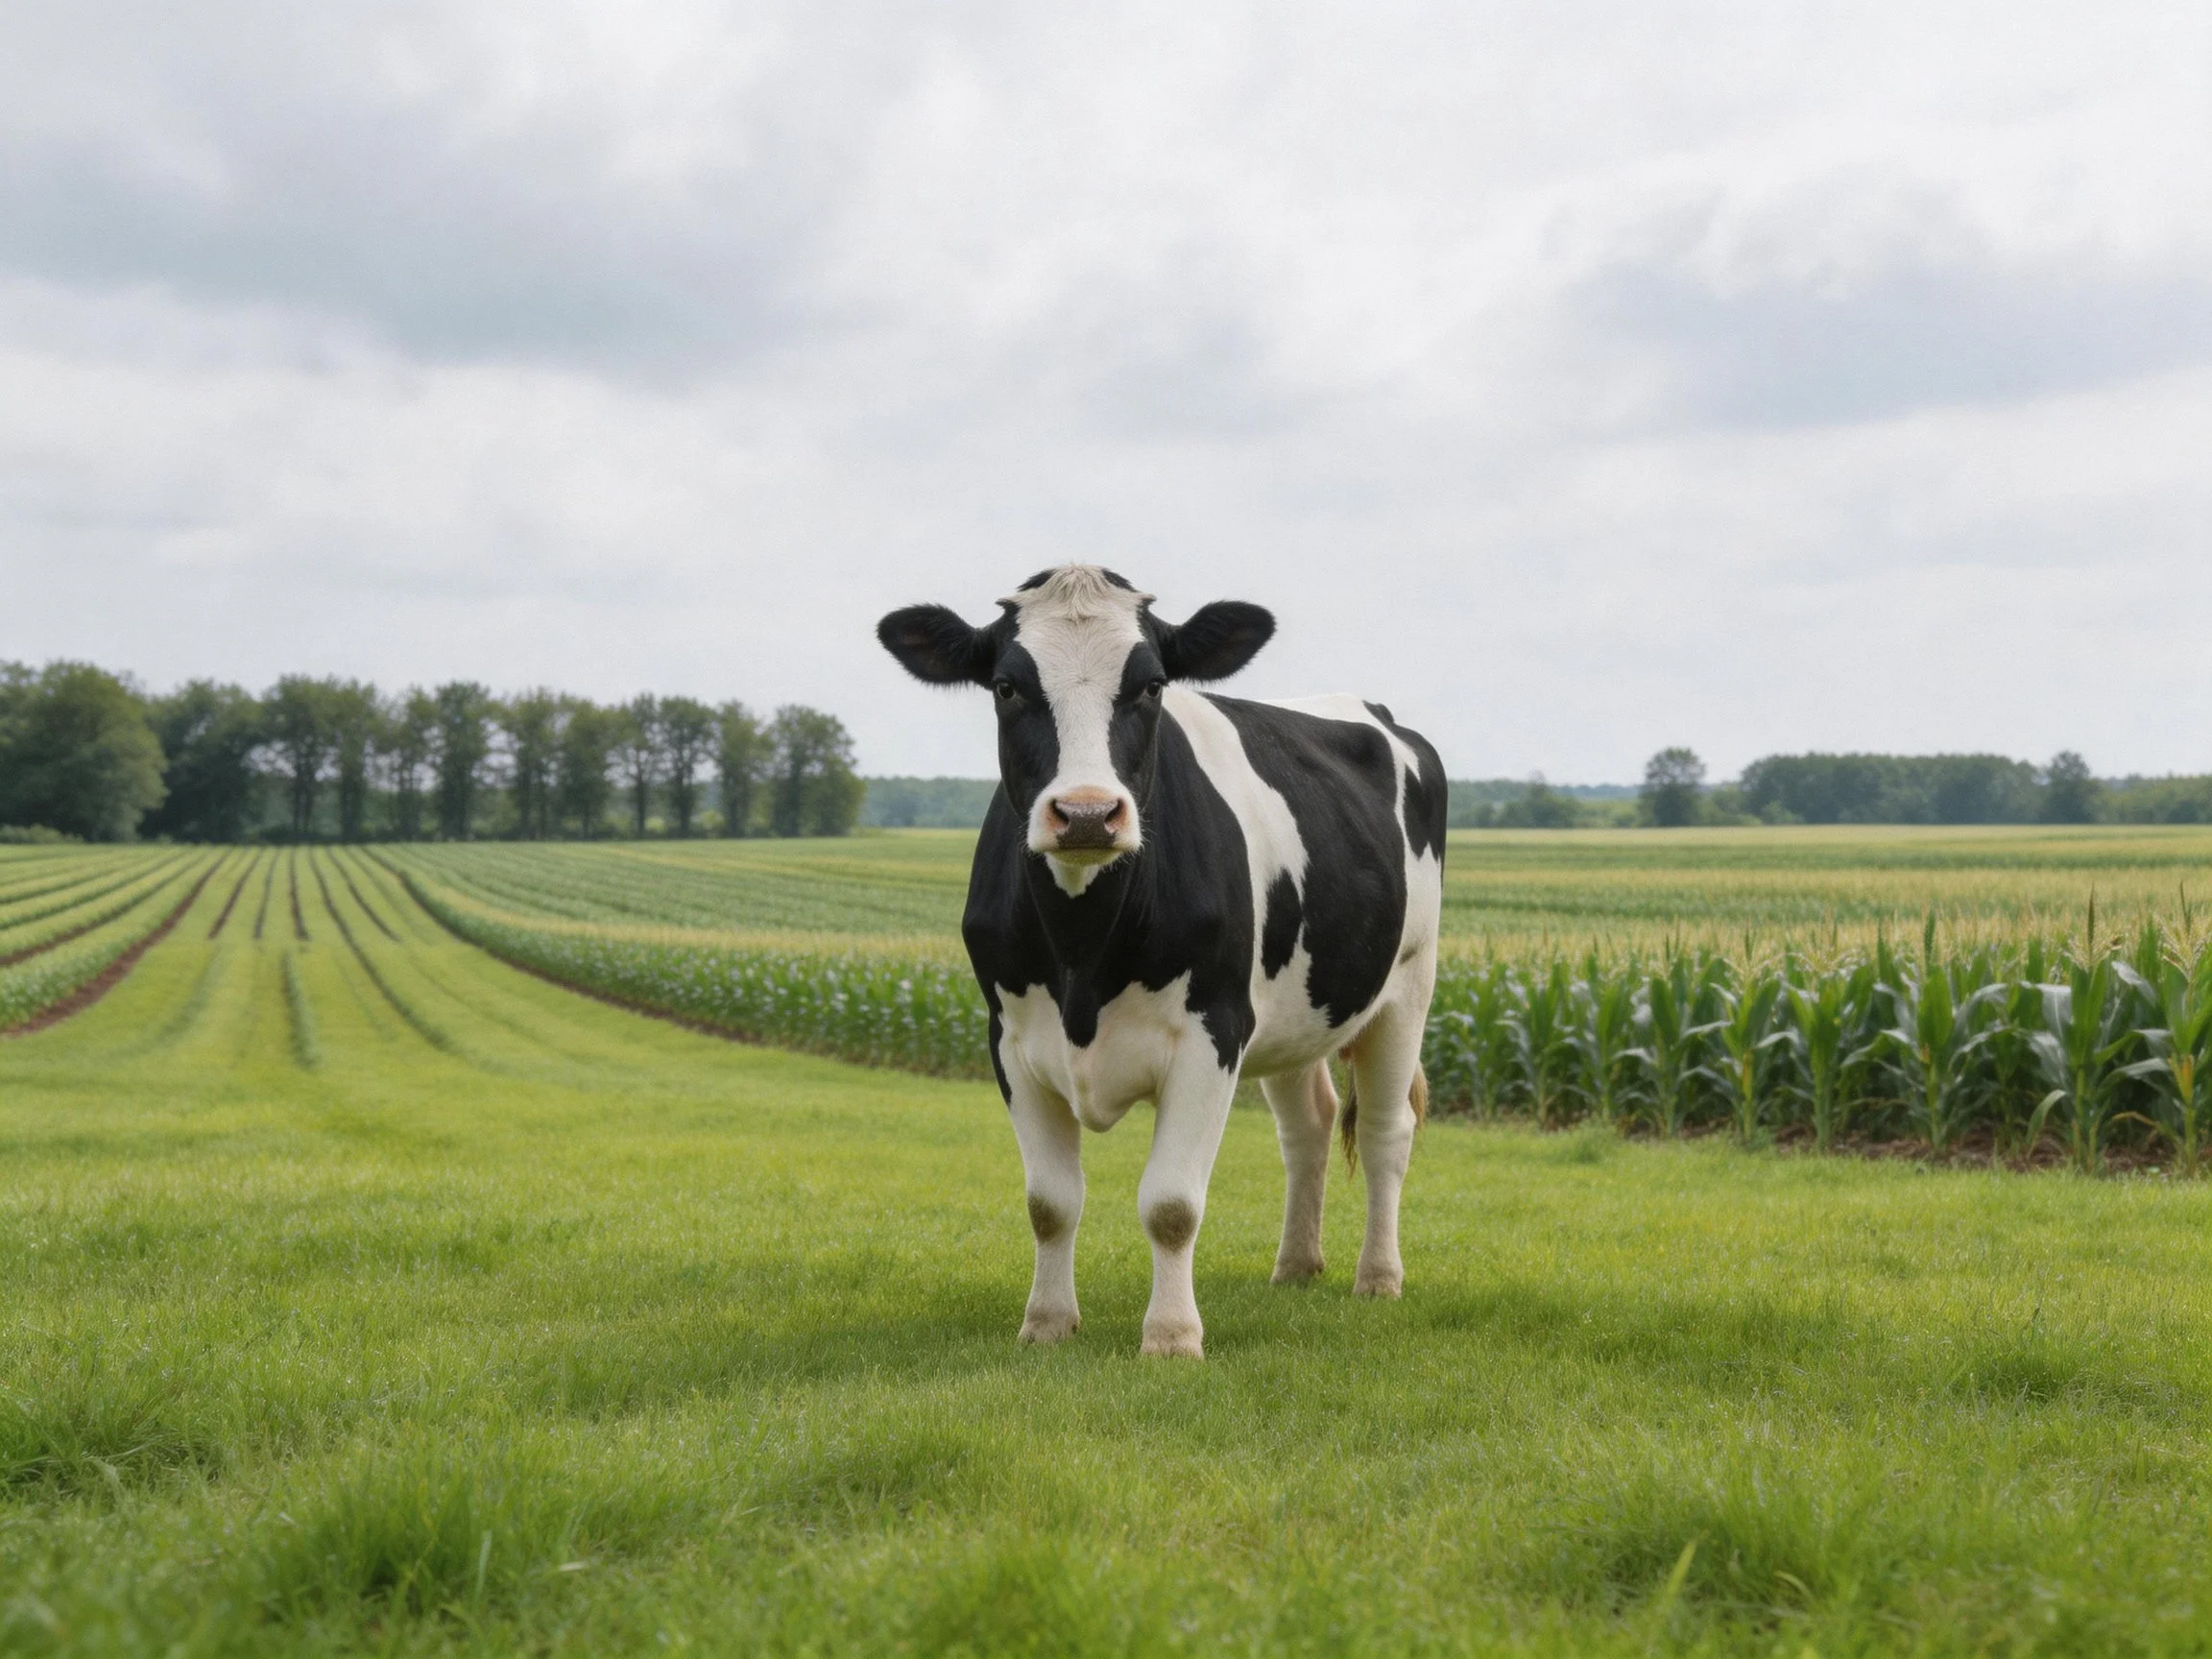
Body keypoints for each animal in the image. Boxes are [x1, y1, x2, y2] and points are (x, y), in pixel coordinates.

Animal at [877, 565, 1446, 1358]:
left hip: (1407, 986)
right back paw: (1296, 1266)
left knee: (1388, 1130)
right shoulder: (1011, 1041)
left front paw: (1172, 1337)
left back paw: (1378, 1277)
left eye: (1150, 685)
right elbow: (1049, 1203)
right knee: (1309, 1126)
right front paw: (1046, 1323)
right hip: (1292, 1011)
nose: (1087, 813)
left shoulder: (1214, 1030)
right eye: (1006, 686)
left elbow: (1172, 1204)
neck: (1083, 948)